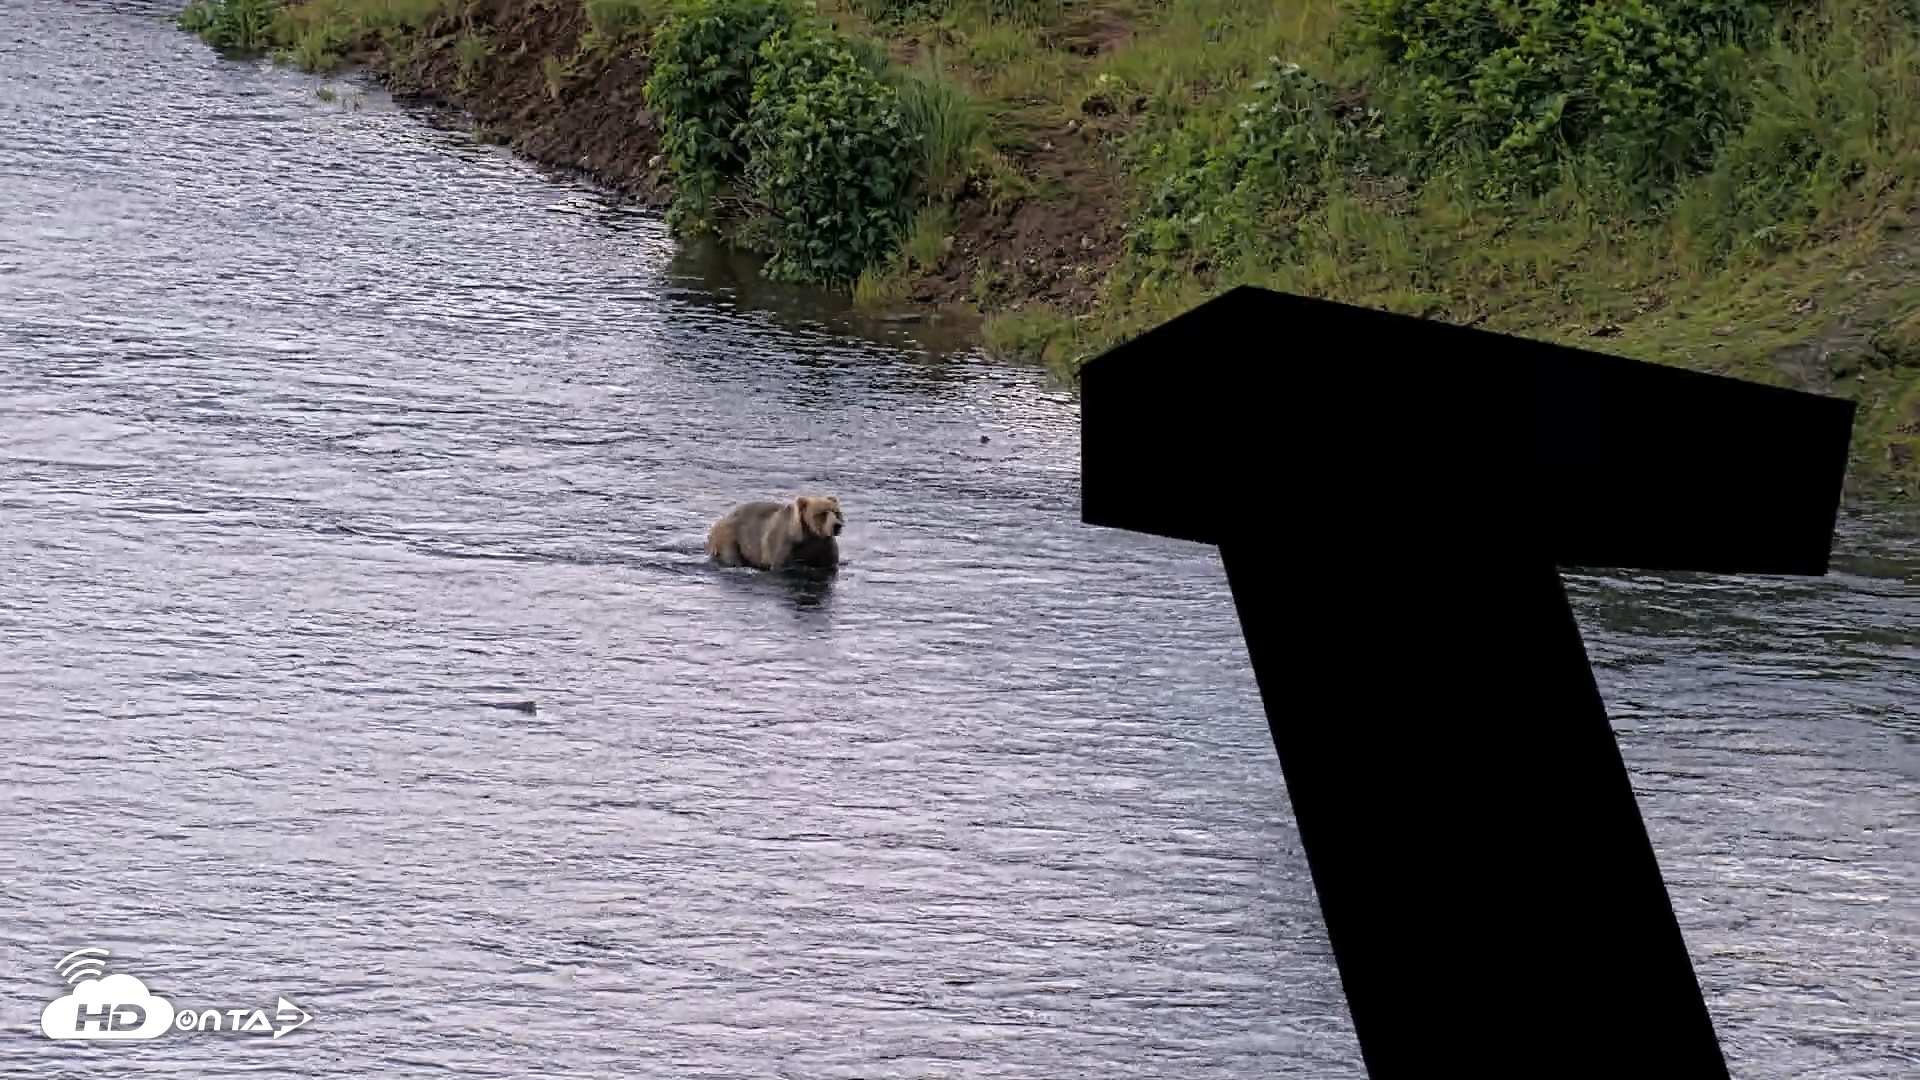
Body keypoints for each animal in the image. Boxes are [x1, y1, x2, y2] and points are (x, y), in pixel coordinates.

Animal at [705, 495, 844, 572]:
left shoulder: (823, 548)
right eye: (821, 513)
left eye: (836, 512)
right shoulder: (783, 545)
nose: (837, 525)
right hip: (730, 538)